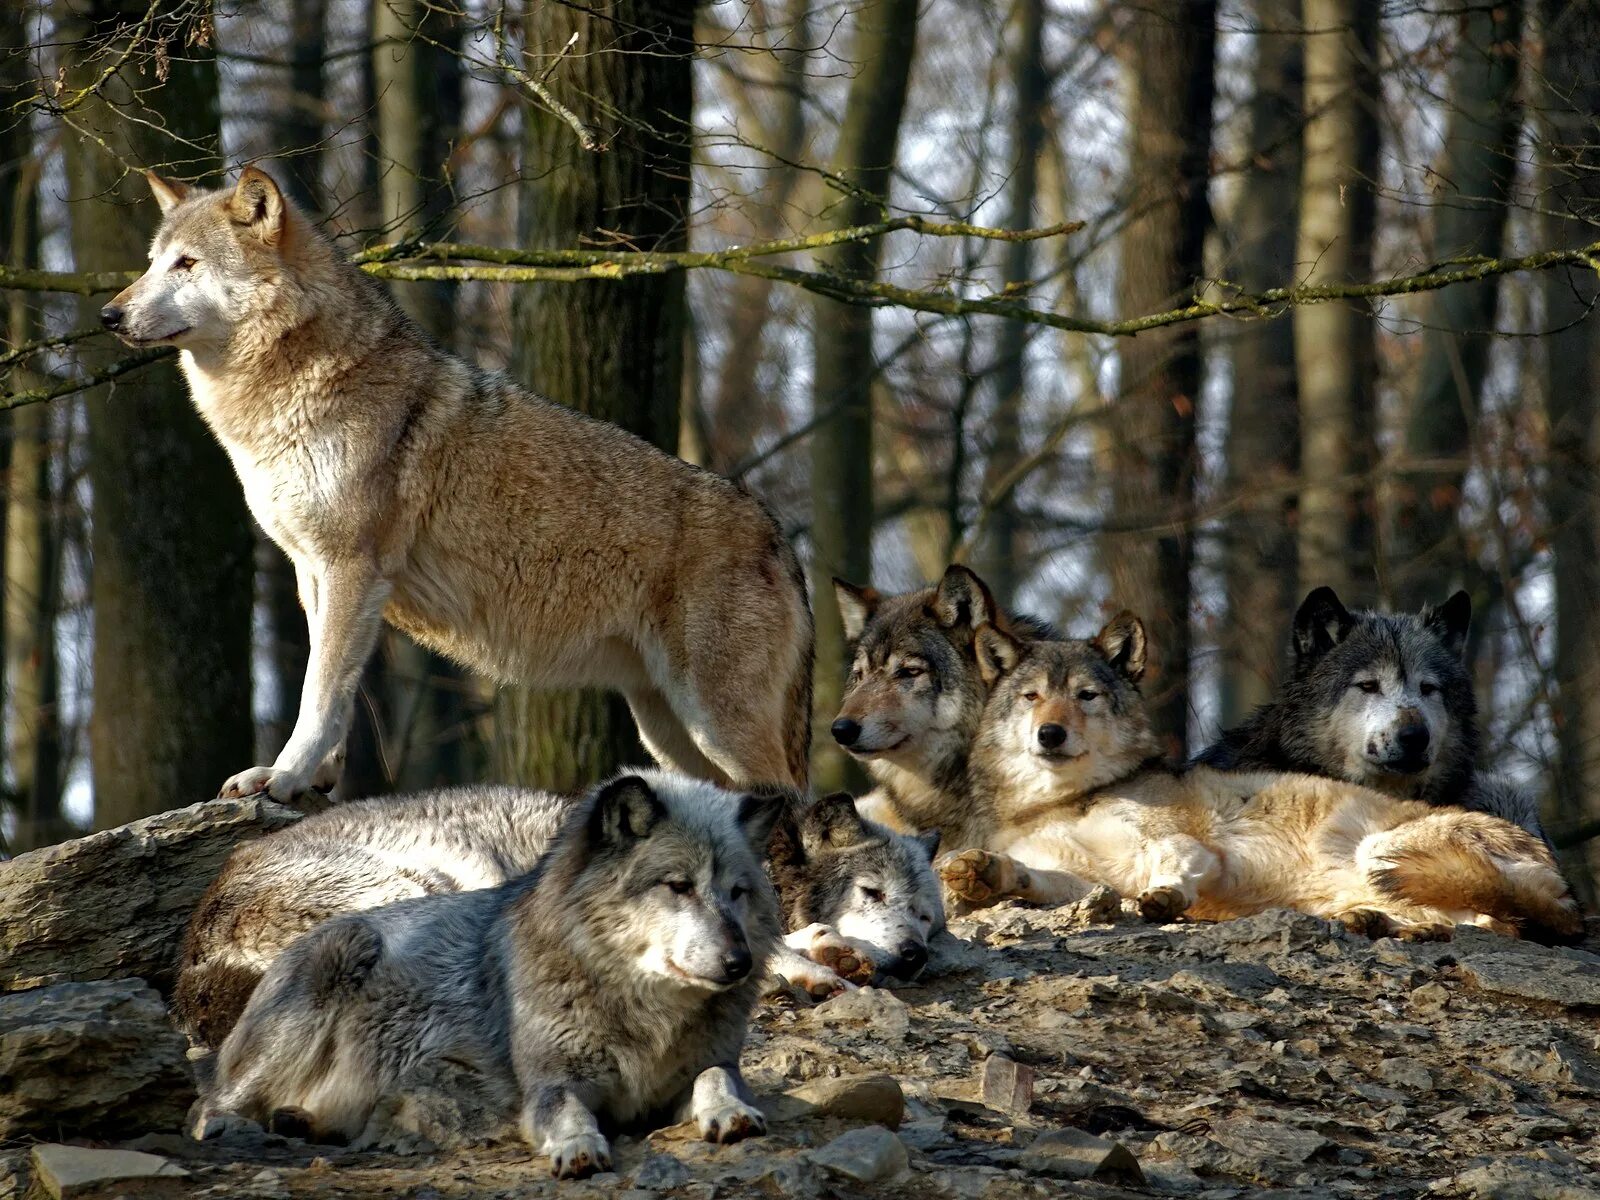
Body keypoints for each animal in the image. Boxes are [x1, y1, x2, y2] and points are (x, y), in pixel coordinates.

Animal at [96, 169, 812, 803]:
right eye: (153, 262)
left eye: (187, 264)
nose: (107, 314)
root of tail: (780, 537)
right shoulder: (312, 572)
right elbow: (330, 689)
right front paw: (306, 777)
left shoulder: (353, 566)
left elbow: (318, 691)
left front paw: (287, 776)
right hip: (668, 731)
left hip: (714, 726)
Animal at [193, 771, 780, 1177]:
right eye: (678, 885)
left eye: (737, 892)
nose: (740, 962)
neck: (644, 1012)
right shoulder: (550, 1085)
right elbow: (567, 1111)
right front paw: (577, 1146)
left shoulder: (702, 1068)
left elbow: (715, 1076)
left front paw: (730, 1111)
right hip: (339, 958)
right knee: (207, 1107)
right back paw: (237, 1125)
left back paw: (302, 1122)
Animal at [934, 620, 1580, 947]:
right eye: (1032, 696)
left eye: (1086, 696)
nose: (1050, 734)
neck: (1064, 799)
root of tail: (1562, 882)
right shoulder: (1087, 875)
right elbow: (1033, 877)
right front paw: (982, 872)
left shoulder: (1184, 845)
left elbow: (1175, 867)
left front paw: (1165, 898)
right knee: (1466, 922)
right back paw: (1374, 923)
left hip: (1382, 851)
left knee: (1486, 923)